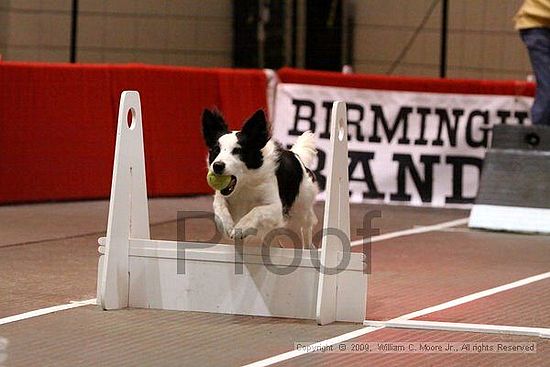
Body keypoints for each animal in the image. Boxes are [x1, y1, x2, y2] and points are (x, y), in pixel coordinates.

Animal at [203, 108, 320, 249]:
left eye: (238, 151)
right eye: (216, 150)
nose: (217, 166)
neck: (245, 183)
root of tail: (295, 155)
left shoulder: (276, 208)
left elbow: (256, 210)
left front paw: (241, 228)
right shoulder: (222, 196)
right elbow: (219, 207)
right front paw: (227, 225)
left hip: (302, 207)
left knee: (306, 228)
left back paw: (308, 248)